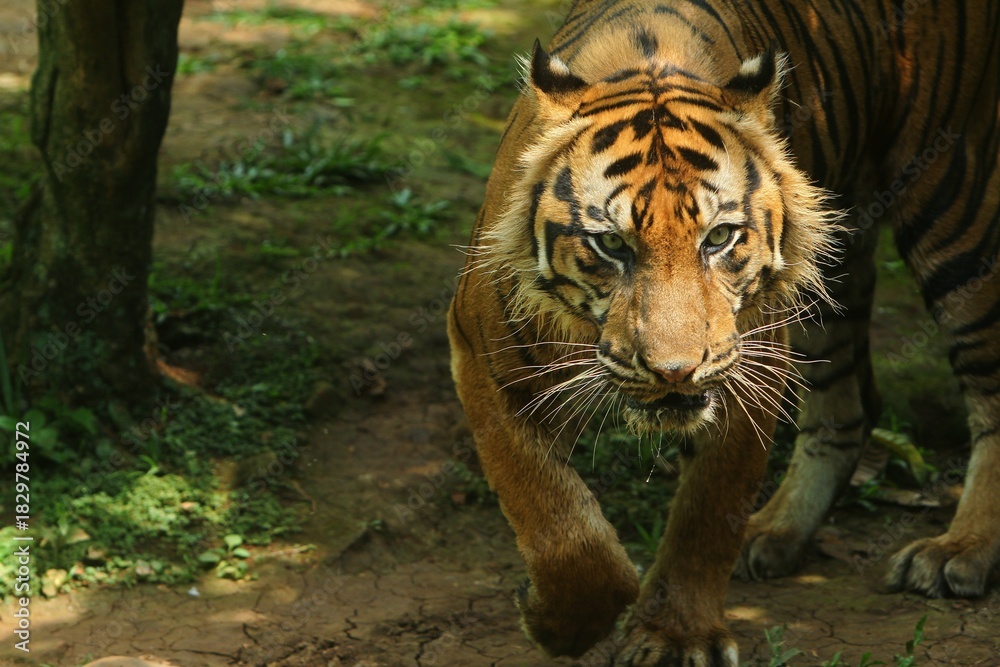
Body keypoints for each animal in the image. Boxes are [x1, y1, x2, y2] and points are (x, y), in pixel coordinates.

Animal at [447, 0, 1000, 664]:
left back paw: (959, 552)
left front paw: (675, 634)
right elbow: (553, 519)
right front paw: (558, 622)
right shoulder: (484, 358)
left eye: (718, 238)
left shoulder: (746, 370)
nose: (674, 371)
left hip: (952, 201)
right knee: (850, 406)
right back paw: (777, 530)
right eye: (612, 245)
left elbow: (708, 510)